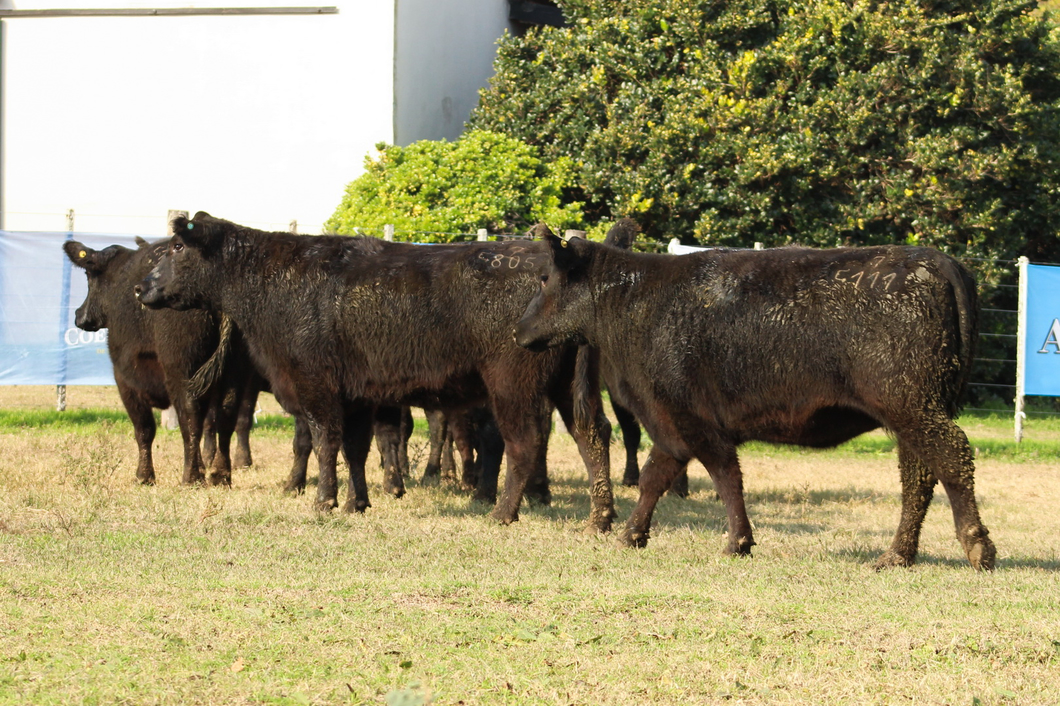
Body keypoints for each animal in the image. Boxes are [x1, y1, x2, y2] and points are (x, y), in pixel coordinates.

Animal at [134, 212, 614, 530]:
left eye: (177, 247)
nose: (140, 287)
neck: (275, 282)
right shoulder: (358, 395)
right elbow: (356, 449)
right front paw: (356, 502)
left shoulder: (316, 386)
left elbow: (325, 443)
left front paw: (324, 501)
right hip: (567, 387)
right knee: (592, 435)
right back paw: (601, 516)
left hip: (512, 385)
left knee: (524, 443)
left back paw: (501, 512)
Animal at [517, 231, 996, 568]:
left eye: (545, 278)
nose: (519, 331)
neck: (634, 302)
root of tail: (933, 259)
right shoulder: (671, 424)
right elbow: (656, 476)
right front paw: (632, 534)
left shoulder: (692, 419)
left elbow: (725, 477)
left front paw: (737, 543)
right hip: (912, 413)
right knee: (919, 475)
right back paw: (897, 555)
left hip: (912, 406)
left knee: (952, 456)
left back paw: (977, 547)